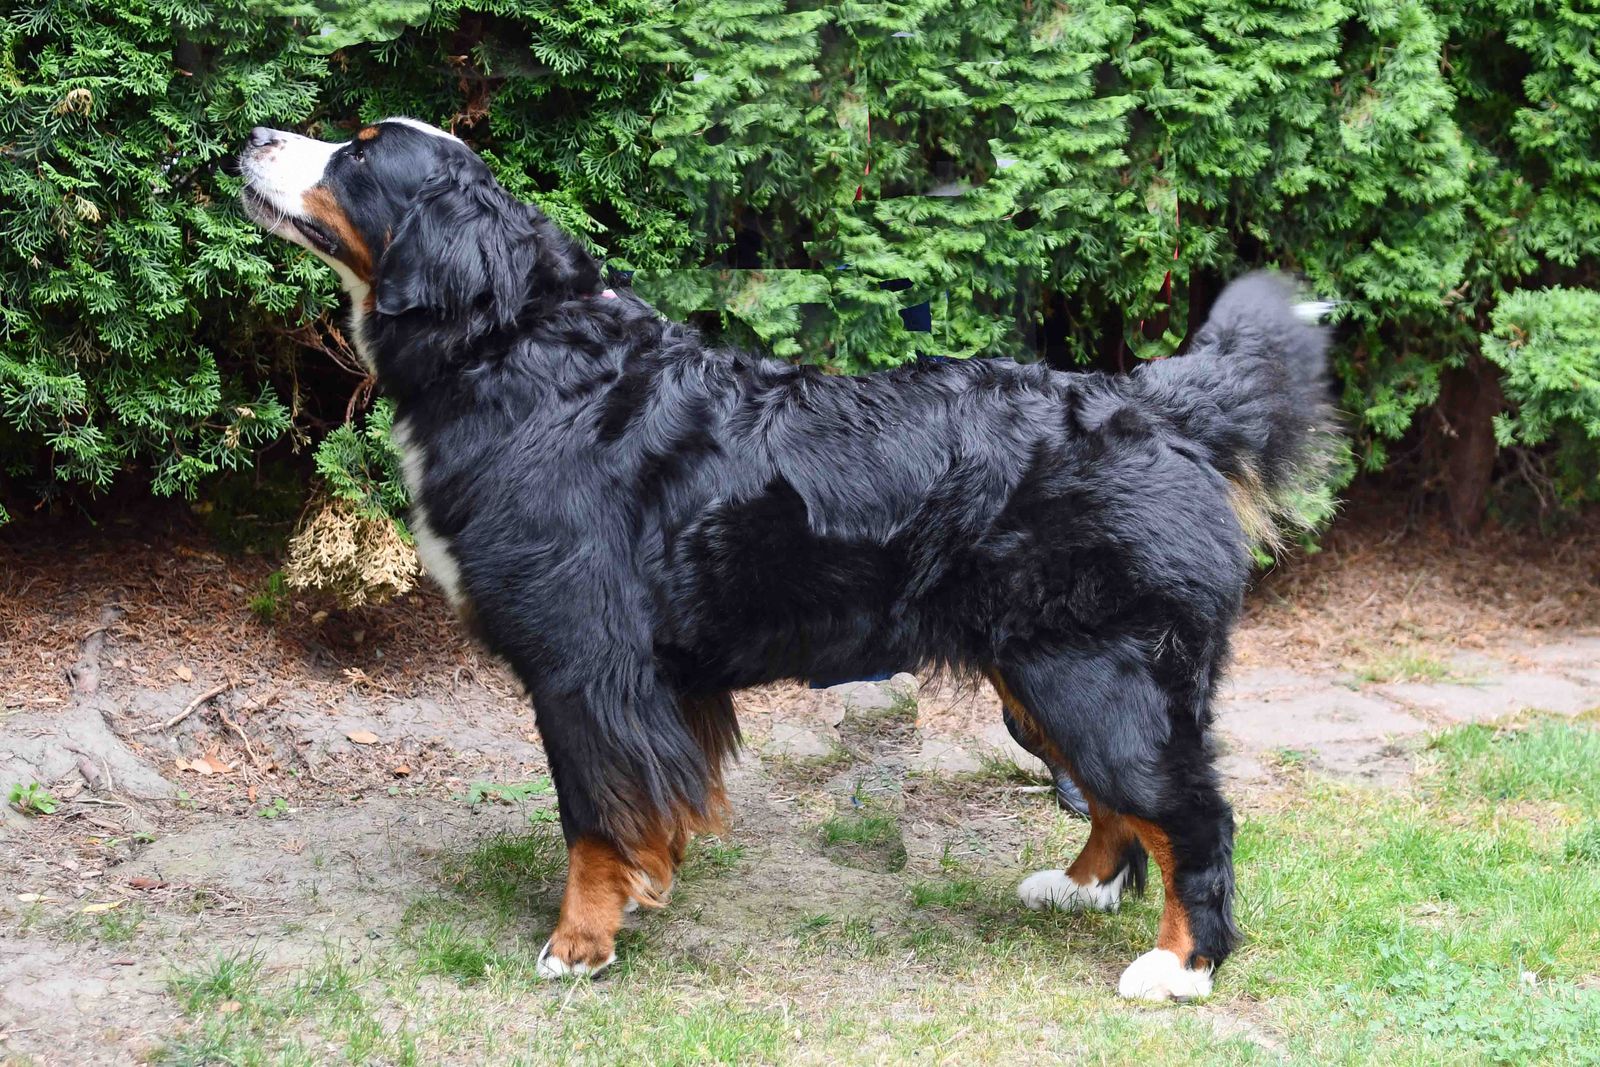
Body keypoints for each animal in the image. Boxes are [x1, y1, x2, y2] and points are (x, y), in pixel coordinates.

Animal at [240, 117, 1337, 1000]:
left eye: (359, 154)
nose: (252, 133)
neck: (516, 352)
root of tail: (1150, 405)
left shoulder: (583, 662)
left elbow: (590, 816)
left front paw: (580, 942)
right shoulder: (654, 680)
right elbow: (647, 805)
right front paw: (650, 883)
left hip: (1093, 673)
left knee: (1189, 813)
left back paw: (1179, 965)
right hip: (1043, 678)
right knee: (1121, 804)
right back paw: (1075, 888)